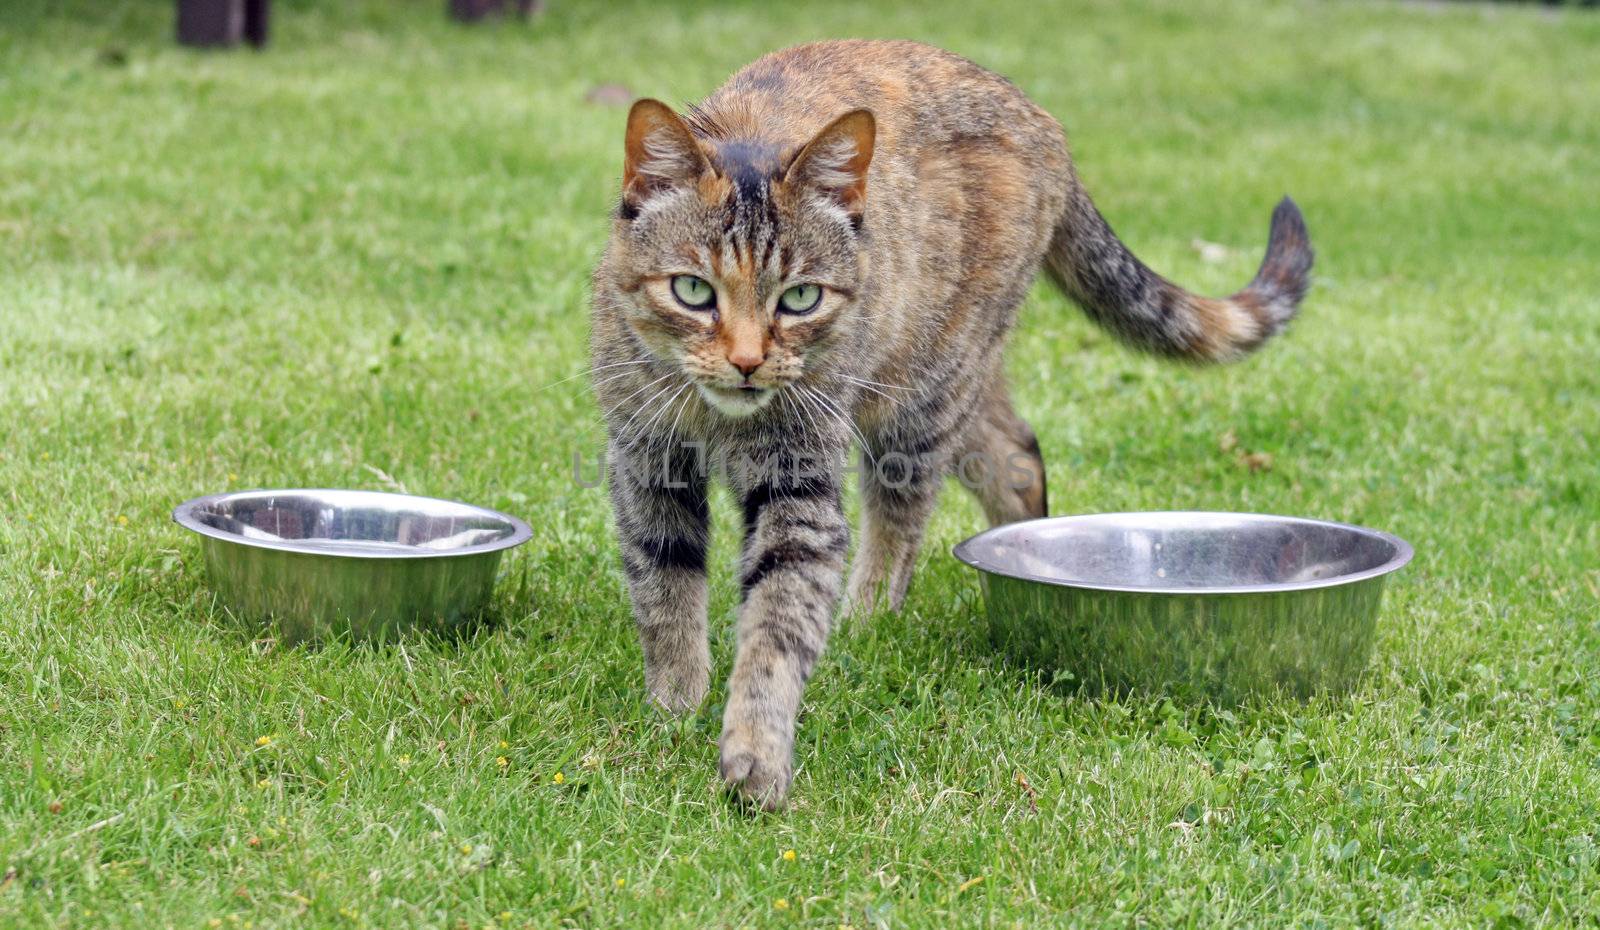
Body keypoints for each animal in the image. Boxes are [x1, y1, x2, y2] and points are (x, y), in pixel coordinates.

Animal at [588, 39, 1312, 809]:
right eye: (693, 291)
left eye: (800, 298)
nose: (749, 362)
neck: (714, 414)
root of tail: (1043, 120)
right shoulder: (645, 460)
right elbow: (664, 588)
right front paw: (675, 706)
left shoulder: (799, 480)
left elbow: (779, 624)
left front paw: (755, 749)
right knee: (1017, 454)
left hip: (924, 393)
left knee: (905, 519)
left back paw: (866, 621)